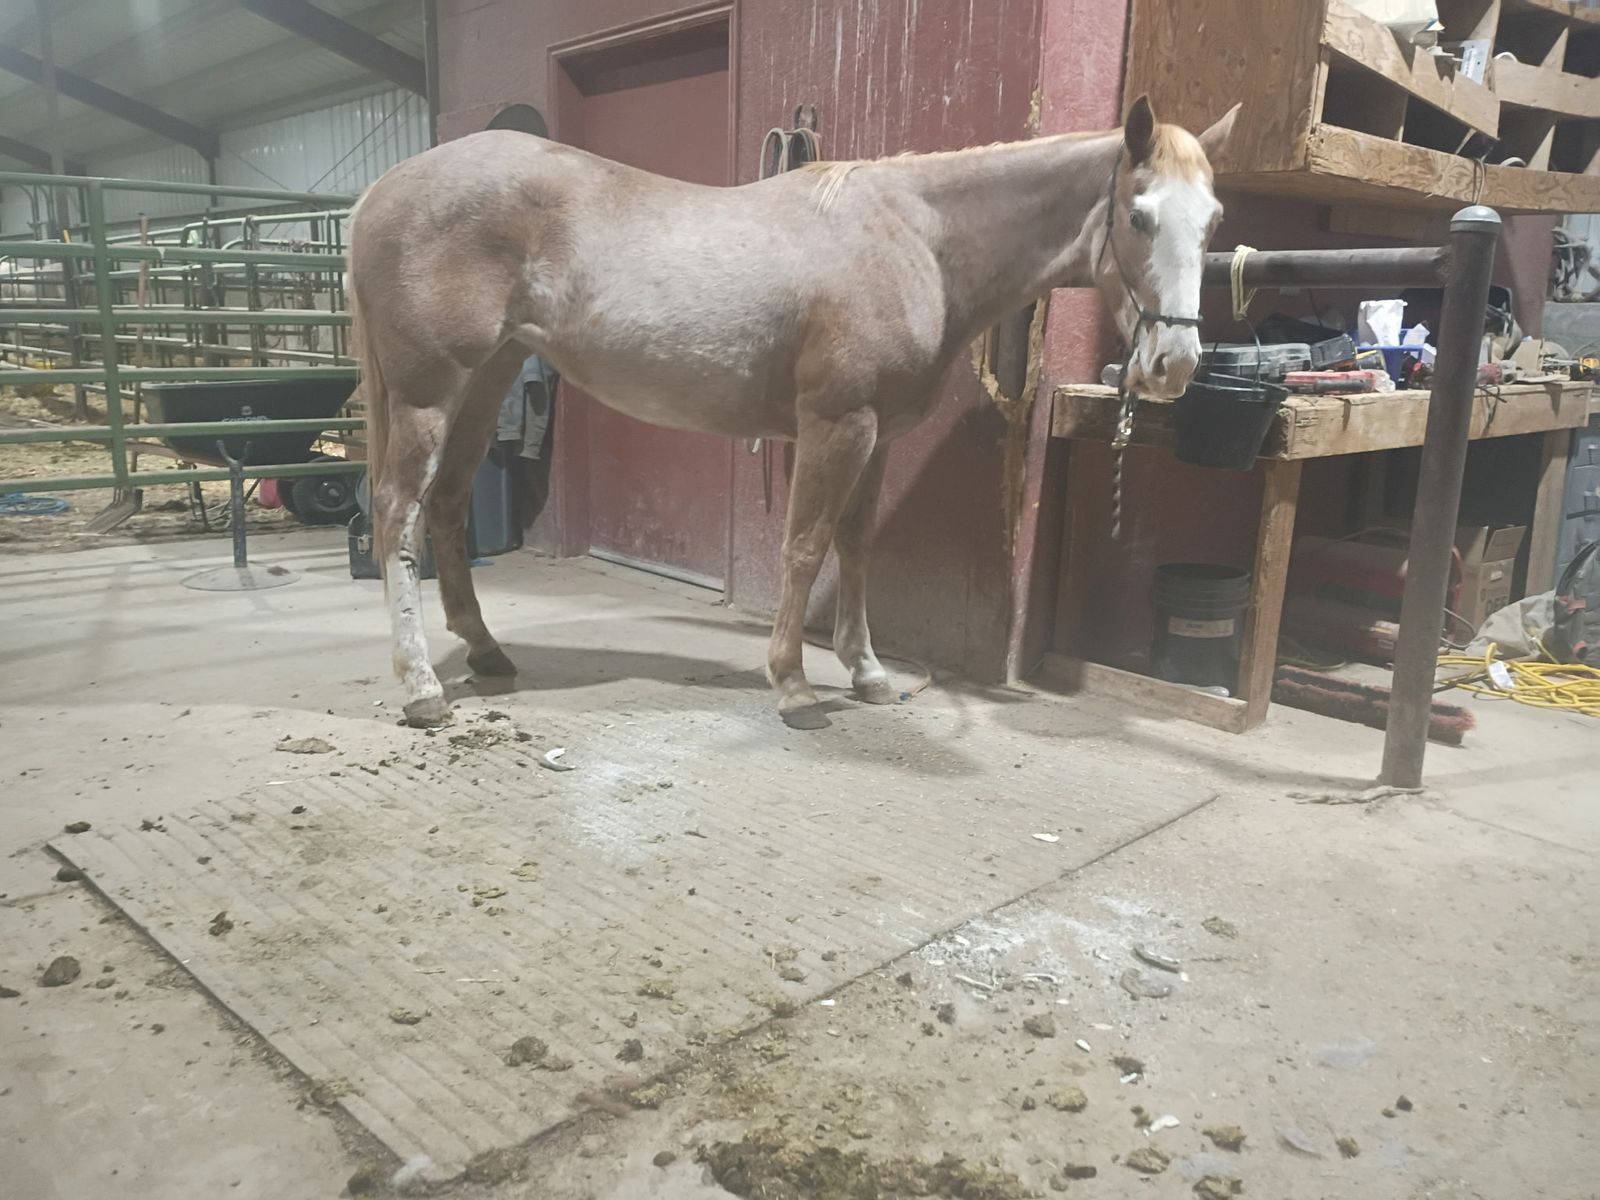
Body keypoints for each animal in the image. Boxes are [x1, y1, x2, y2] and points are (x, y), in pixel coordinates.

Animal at [348, 95, 1239, 729]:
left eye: (1215, 221)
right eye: (1138, 215)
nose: (1175, 365)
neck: (914, 238)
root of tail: (379, 192)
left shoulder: (881, 433)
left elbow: (857, 545)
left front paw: (867, 674)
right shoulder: (837, 423)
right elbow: (805, 546)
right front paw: (794, 686)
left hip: (487, 380)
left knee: (448, 505)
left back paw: (486, 651)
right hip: (431, 391)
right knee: (397, 515)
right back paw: (422, 689)